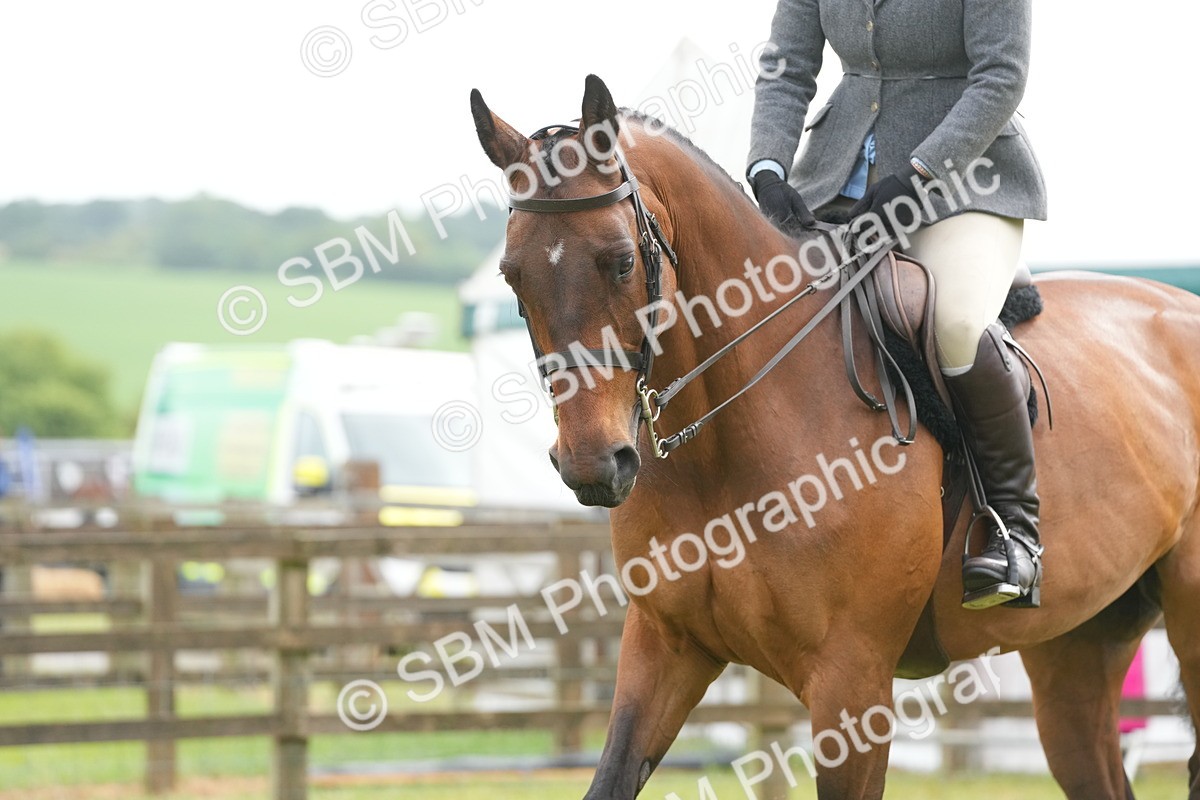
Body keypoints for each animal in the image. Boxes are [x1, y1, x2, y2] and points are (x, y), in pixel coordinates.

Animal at [470, 75, 1200, 800]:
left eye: (621, 262)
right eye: (512, 275)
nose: (594, 463)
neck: (726, 447)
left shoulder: (853, 682)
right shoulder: (664, 646)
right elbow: (612, 776)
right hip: (1076, 646)